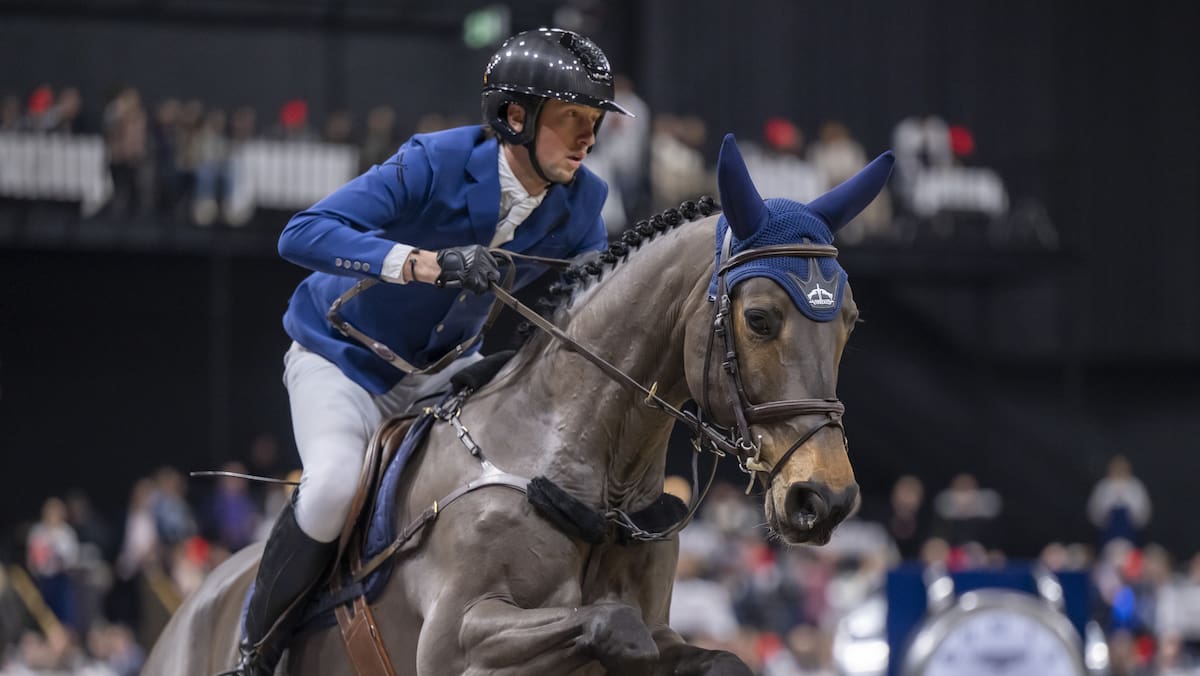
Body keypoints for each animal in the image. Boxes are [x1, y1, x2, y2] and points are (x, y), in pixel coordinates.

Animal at [142, 135, 892, 672]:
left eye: (852, 321)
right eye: (760, 319)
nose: (825, 499)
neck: (590, 466)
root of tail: (190, 606)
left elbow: (697, 653)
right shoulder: (457, 638)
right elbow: (612, 627)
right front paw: (459, 264)